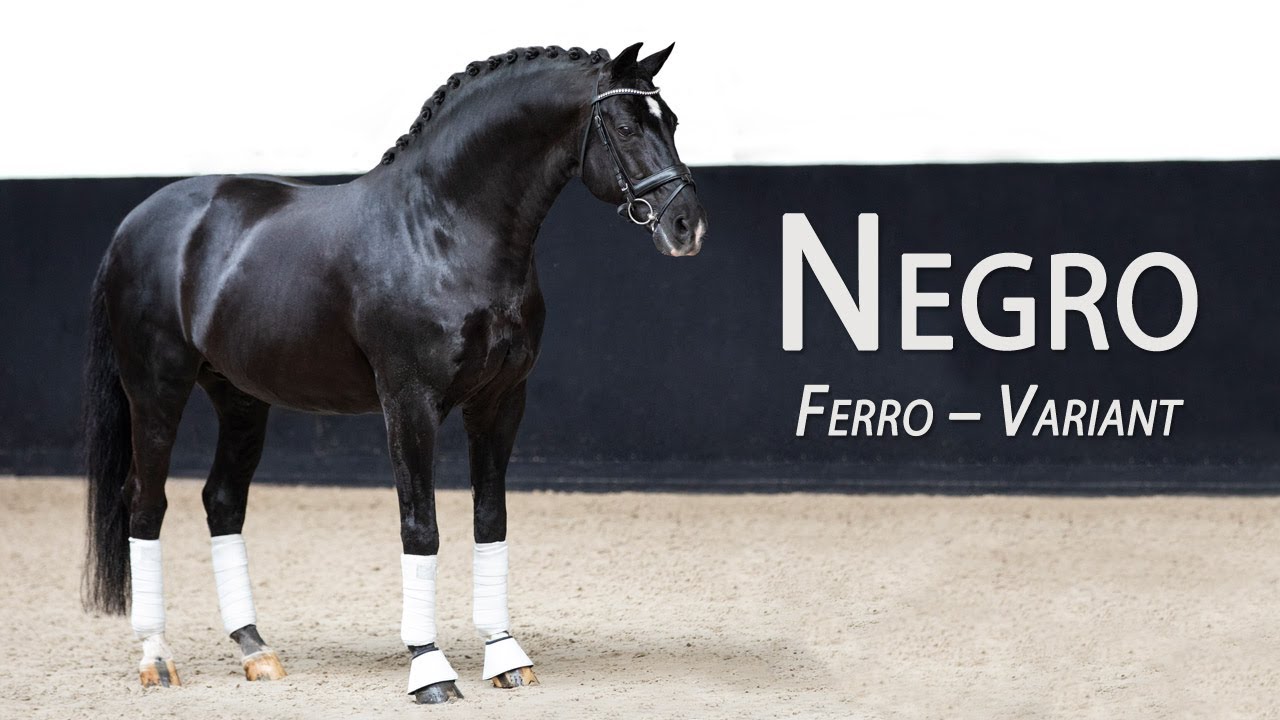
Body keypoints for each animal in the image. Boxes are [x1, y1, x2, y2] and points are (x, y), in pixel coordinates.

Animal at [80, 41, 707, 704]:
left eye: (672, 122)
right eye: (626, 127)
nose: (687, 226)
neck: (443, 229)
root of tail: (134, 226)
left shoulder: (502, 401)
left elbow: (490, 519)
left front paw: (505, 656)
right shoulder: (410, 402)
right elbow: (420, 527)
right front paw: (431, 669)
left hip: (240, 399)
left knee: (222, 501)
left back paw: (256, 651)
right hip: (157, 391)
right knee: (145, 504)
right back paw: (156, 657)